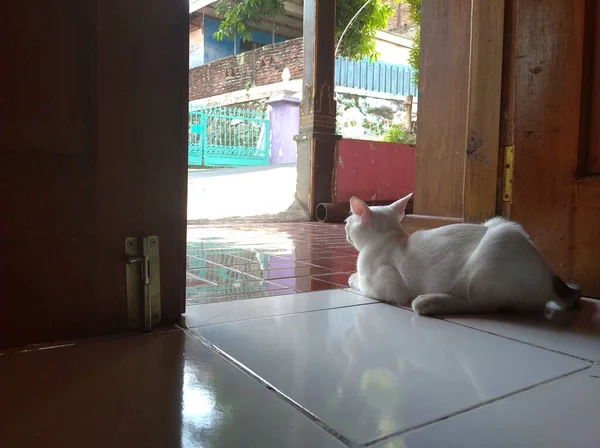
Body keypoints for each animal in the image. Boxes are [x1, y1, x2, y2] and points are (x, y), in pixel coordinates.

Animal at [346, 192, 580, 316]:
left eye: (347, 222)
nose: (345, 230)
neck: (390, 239)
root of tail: (549, 274)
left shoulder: (389, 287)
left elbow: (361, 282)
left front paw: (352, 278)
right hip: (497, 222)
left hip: (492, 250)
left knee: (482, 304)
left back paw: (428, 303)